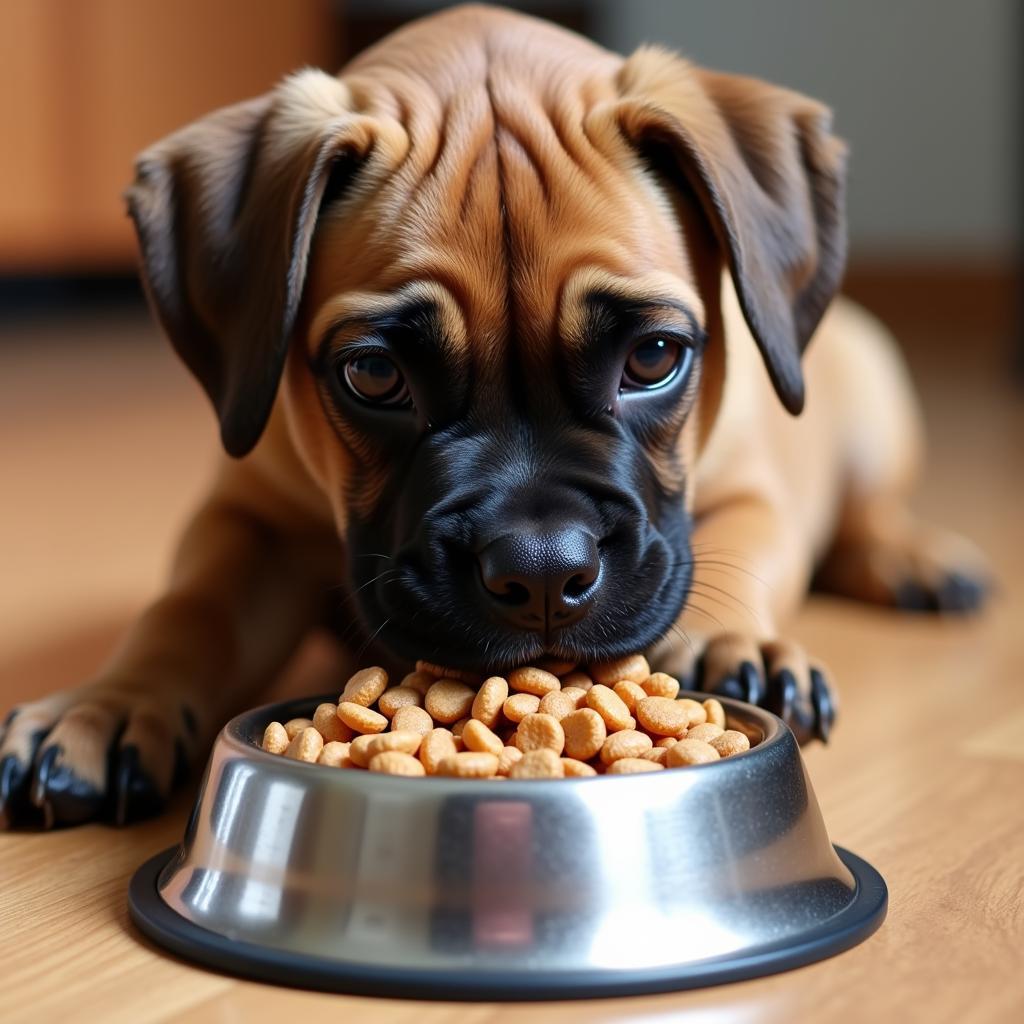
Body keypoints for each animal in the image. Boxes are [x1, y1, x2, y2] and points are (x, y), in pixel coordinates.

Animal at [2, 4, 991, 827]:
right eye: (374, 375)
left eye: (653, 358)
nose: (542, 573)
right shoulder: (249, 521)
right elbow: (187, 610)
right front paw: (105, 702)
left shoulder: (752, 487)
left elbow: (751, 546)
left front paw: (731, 643)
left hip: (873, 386)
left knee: (865, 512)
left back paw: (914, 558)